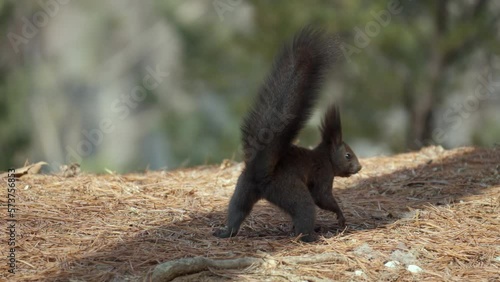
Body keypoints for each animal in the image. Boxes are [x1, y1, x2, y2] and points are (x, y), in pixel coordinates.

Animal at [213, 27, 362, 242]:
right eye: (348, 155)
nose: (359, 167)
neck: (325, 156)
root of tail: (262, 173)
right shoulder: (323, 175)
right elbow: (322, 198)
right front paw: (340, 215)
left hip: (243, 189)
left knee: (237, 210)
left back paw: (226, 232)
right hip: (290, 190)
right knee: (304, 209)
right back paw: (310, 236)